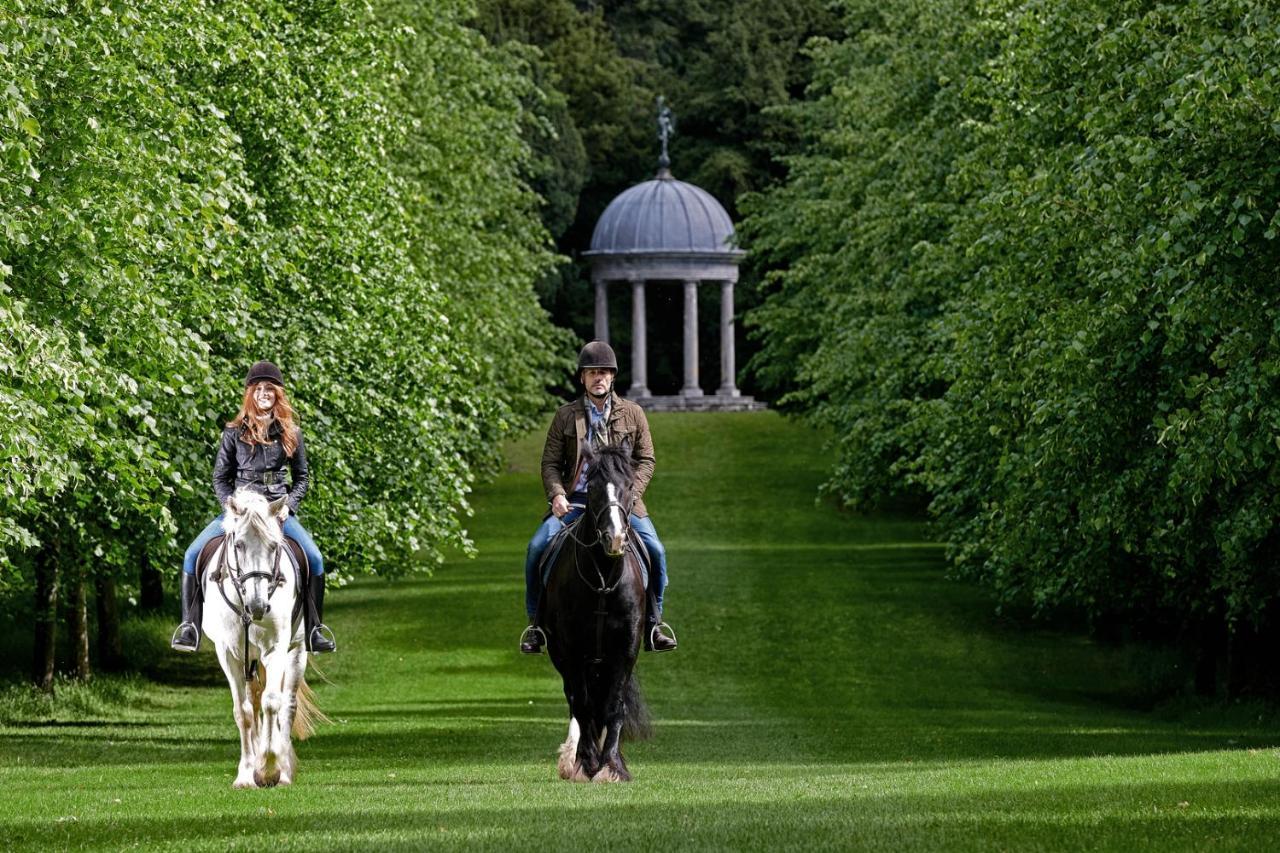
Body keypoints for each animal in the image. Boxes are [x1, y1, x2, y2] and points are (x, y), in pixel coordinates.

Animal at [202, 484, 320, 783]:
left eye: (273, 546)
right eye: (239, 545)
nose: (257, 606)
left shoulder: (275, 649)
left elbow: (271, 703)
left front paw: (268, 768)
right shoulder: (228, 654)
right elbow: (243, 711)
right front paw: (246, 773)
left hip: (295, 652)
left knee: (287, 705)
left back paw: (284, 770)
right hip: (249, 660)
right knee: (253, 701)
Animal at [537, 440, 650, 778]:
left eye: (629, 486)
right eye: (594, 488)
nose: (615, 538)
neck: (602, 578)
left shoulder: (626, 647)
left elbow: (614, 705)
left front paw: (611, 766)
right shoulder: (571, 649)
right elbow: (583, 705)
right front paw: (587, 762)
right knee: (577, 700)